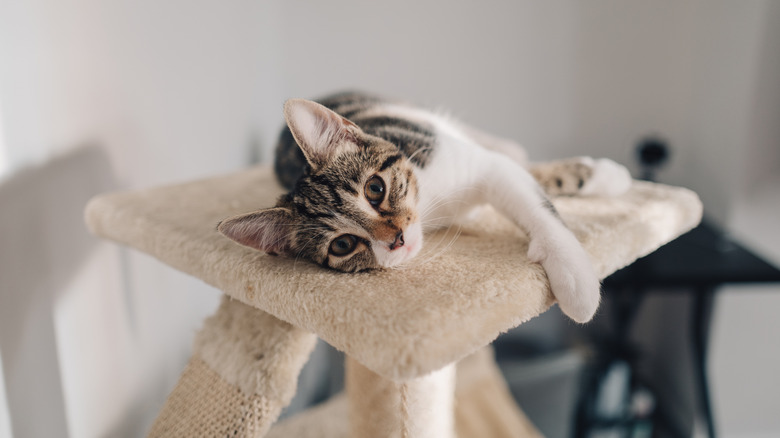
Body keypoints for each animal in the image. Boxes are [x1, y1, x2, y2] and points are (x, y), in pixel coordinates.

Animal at [216, 91, 632, 322]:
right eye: (342, 245)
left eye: (375, 189)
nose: (397, 238)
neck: (430, 202)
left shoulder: (468, 160)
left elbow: (531, 193)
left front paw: (574, 277)